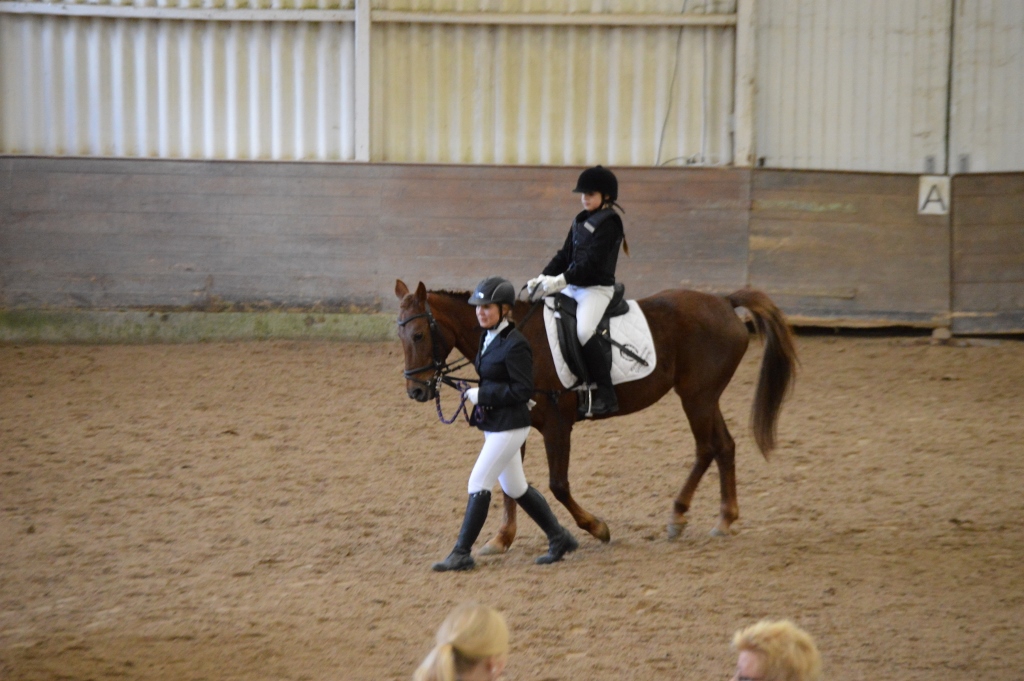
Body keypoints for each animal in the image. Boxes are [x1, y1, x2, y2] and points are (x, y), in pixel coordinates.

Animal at [394, 279, 797, 554]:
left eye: (419, 335)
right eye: (400, 337)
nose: (416, 391)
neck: (511, 336)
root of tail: (725, 302)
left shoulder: (557, 426)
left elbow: (558, 484)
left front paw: (597, 527)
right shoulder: (516, 423)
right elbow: (510, 485)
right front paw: (501, 538)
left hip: (696, 397)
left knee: (707, 448)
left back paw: (679, 516)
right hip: (706, 397)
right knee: (724, 446)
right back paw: (724, 517)